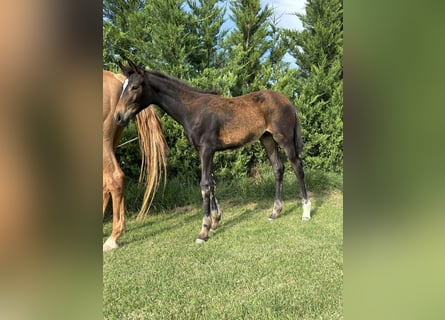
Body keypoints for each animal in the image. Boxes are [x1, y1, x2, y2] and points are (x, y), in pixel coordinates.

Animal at [112, 61, 310, 244]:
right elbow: (212, 183)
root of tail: (288, 101)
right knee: (278, 168)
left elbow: (205, 185)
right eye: (122, 87)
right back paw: (275, 212)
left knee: (297, 166)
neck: (192, 109)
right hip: (267, 139)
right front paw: (215, 221)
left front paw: (204, 230)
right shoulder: (207, 151)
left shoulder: (206, 150)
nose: (118, 116)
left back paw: (306, 212)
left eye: (134, 87)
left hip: (284, 138)